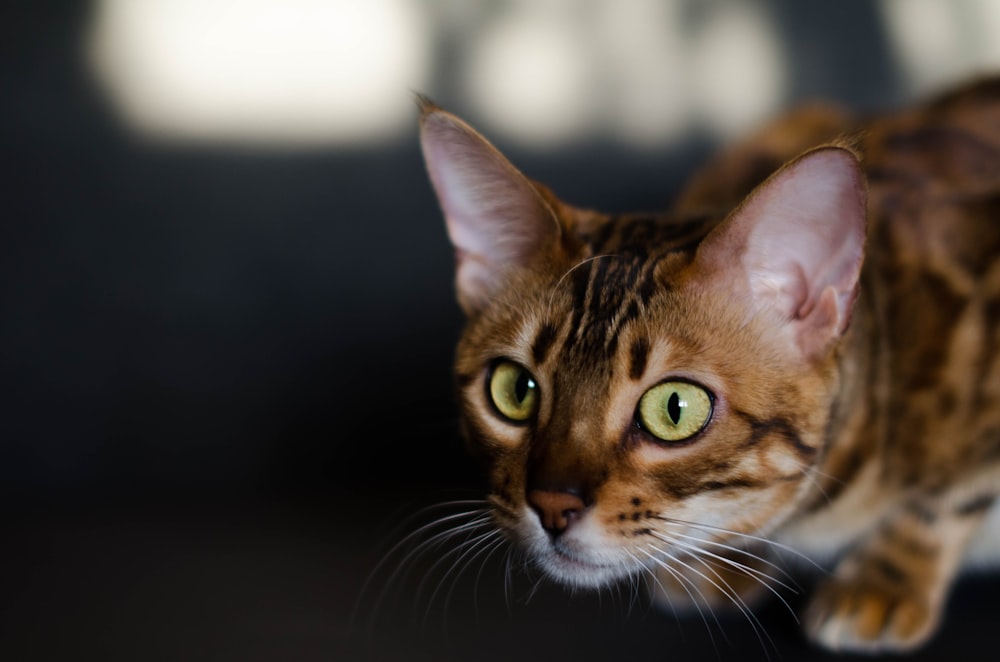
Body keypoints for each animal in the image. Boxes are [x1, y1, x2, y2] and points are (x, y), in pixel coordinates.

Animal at [414, 78, 1000, 652]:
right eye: (516, 389)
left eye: (675, 408)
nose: (553, 504)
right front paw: (725, 564)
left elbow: (946, 502)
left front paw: (882, 583)